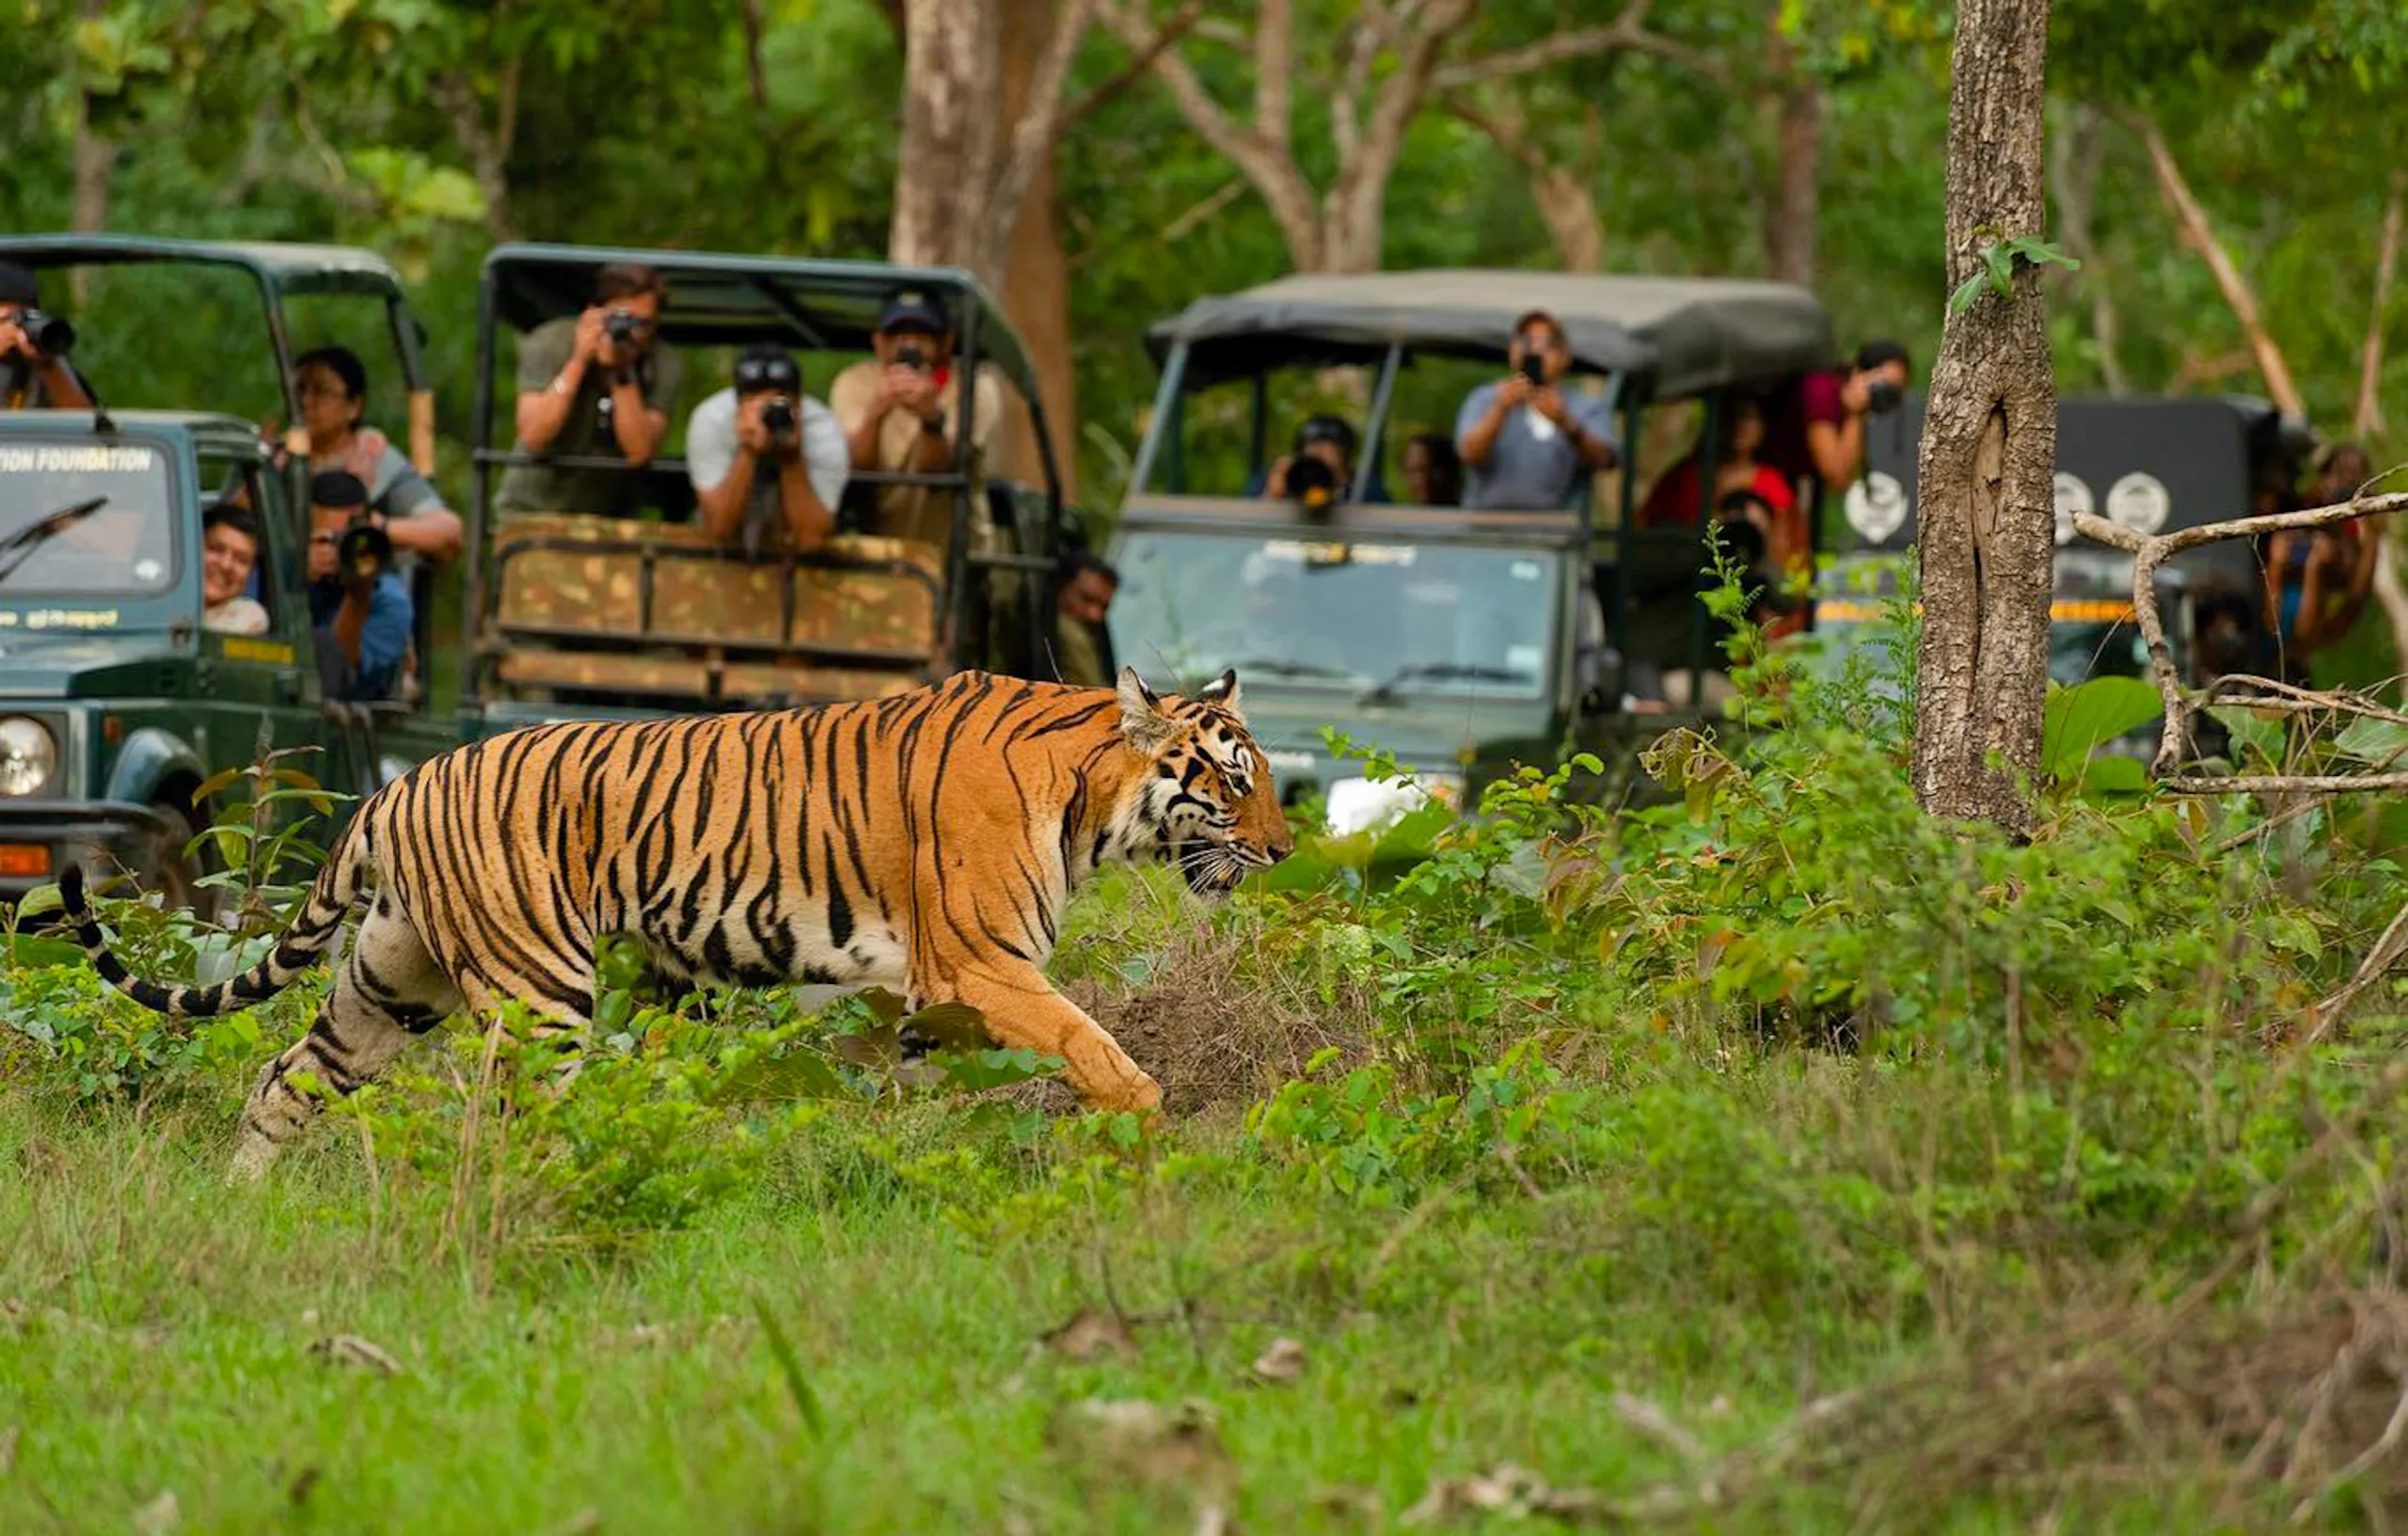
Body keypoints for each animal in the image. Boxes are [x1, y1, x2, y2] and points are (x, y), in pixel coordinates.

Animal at [60, 666, 1292, 1180]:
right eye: (1233, 783)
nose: (1284, 850)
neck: (1085, 798)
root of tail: (395, 788)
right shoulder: (978, 966)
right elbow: (1097, 1048)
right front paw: (1147, 1137)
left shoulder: (915, 1000)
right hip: (538, 992)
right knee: (505, 1122)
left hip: (390, 980)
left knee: (283, 1077)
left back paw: (242, 1204)